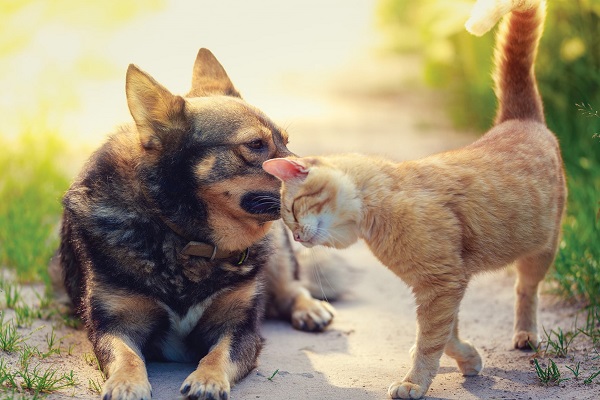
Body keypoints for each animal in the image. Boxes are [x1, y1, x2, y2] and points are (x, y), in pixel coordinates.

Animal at [52, 48, 338, 398]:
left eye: (285, 141)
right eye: (255, 144)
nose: (329, 175)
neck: (183, 236)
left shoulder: (239, 327)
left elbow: (219, 354)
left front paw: (208, 378)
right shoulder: (113, 324)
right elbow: (126, 355)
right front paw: (126, 383)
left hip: (278, 248)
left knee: (290, 286)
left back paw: (310, 308)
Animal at [262, 0, 564, 398]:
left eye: (294, 211)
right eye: (287, 223)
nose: (296, 237)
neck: (380, 205)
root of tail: (518, 119)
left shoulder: (440, 284)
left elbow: (432, 340)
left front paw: (414, 381)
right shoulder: (443, 285)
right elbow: (445, 334)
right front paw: (468, 358)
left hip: (541, 250)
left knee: (525, 289)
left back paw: (526, 334)